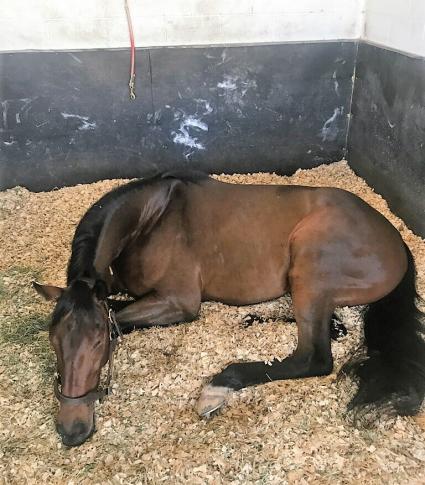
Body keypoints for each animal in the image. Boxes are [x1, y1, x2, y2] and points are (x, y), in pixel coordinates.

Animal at [34, 171, 424, 446]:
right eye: (54, 342)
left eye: (100, 342)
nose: (72, 428)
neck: (149, 221)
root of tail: (396, 239)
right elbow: (114, 306)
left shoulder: (178, 302)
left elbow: (119, 316)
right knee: (334, 329)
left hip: (310, 269)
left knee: (314, 357)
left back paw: (218, 387)